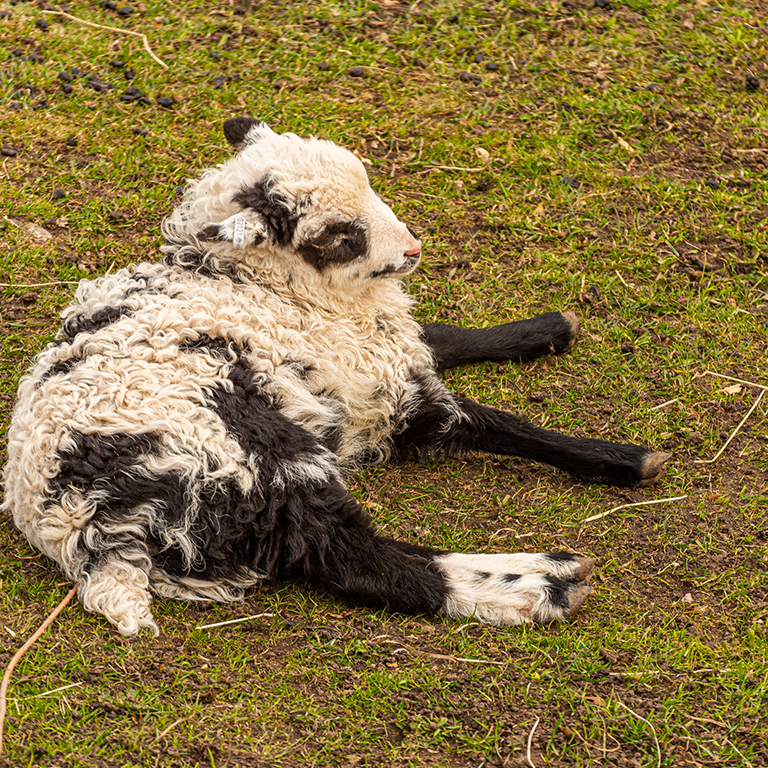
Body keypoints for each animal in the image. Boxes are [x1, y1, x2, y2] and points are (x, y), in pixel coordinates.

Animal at [0, 120, 668, 636]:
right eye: (338, 236)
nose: (413, 251)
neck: (265, 288)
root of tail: (84, 532)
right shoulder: (380, 394)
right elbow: (487, 421)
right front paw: (628, 459)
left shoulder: (380, 353)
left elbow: (445, 337)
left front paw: (550, 328)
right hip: (252, 460)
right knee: (359, 559)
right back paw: (545, 582)